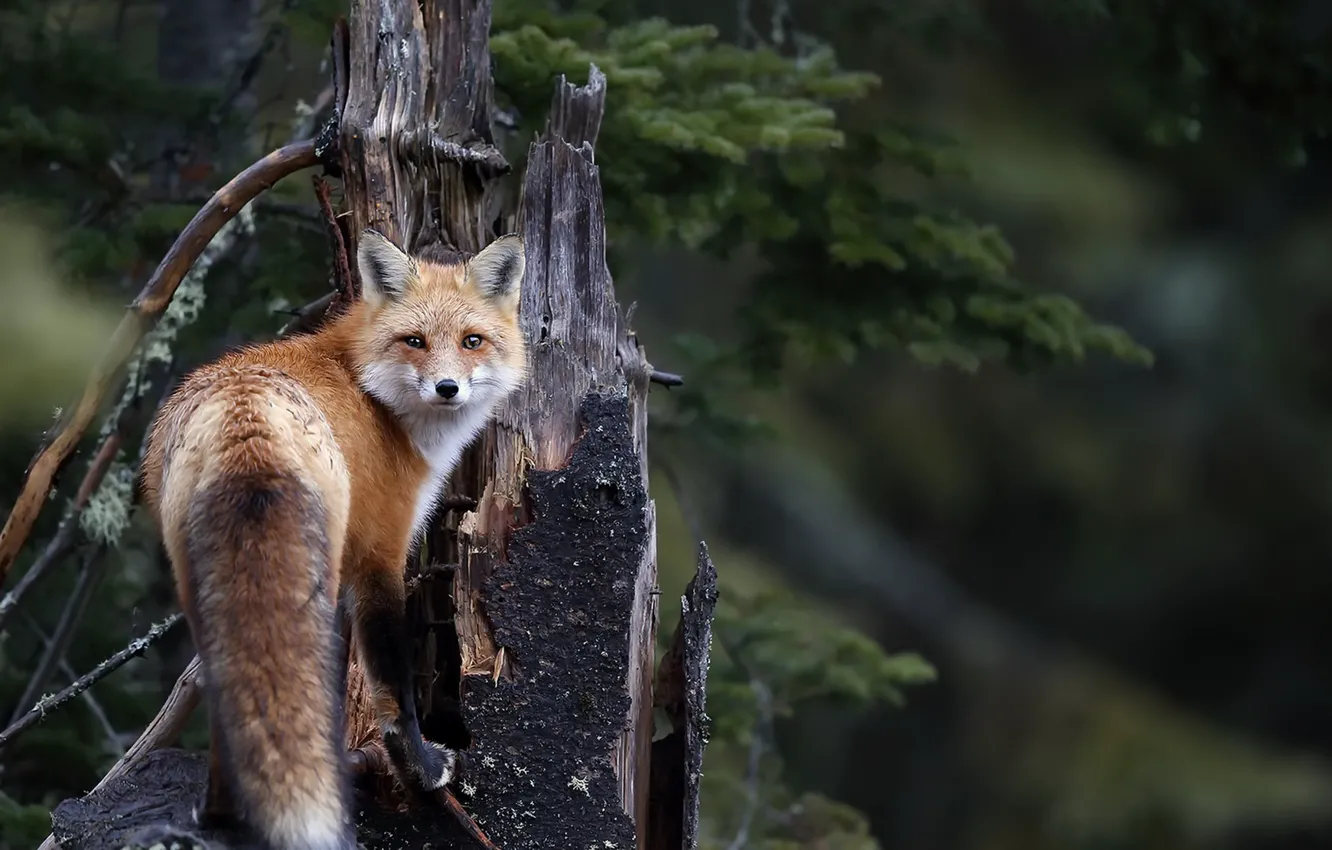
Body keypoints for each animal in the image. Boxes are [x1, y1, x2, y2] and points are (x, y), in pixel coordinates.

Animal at [138, 229, 527, 850]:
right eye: (415, 341)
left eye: (472, 341)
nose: (448, 388)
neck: (373, 395)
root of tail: (246, 417)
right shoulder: (380, 556)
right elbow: (392, 688)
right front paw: (420, 769)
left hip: (201, 585)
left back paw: (223, 814)